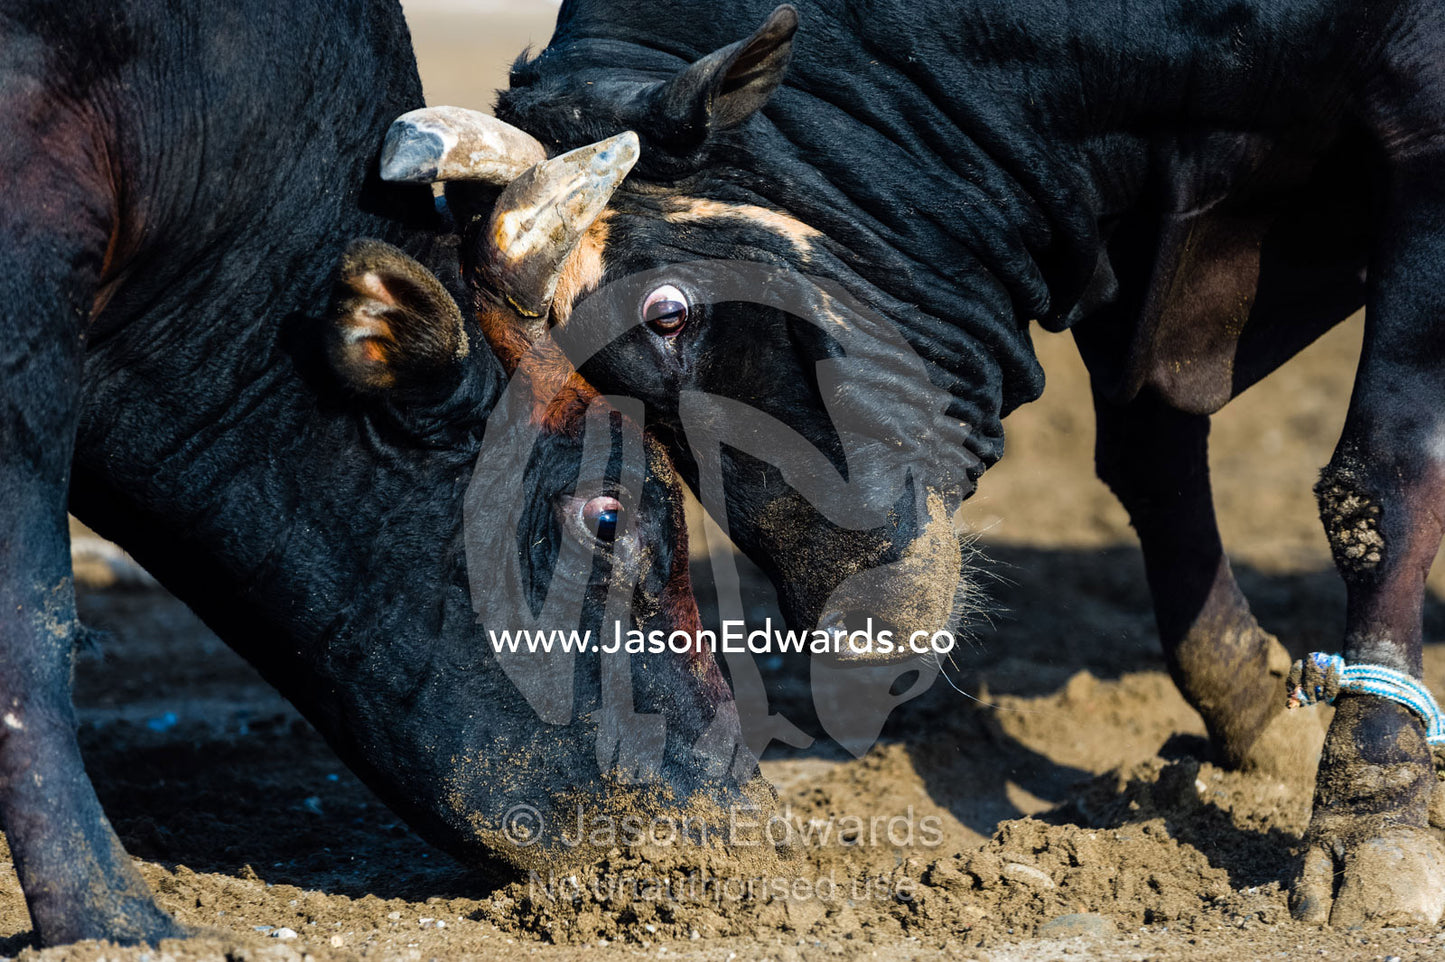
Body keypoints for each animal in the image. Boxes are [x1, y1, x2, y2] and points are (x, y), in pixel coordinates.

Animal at [382, 0, 1445, 928]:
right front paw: (1259, 715)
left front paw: (1369, 827)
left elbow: (1379, 479)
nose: (856, 639)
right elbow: (1151, 461)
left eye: (669, 312)